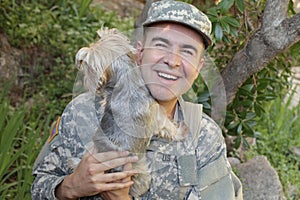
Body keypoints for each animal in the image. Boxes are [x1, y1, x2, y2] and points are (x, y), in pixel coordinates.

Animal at [75, 27, 186, 198]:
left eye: (88, 69)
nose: (80, 67)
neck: (126, 78)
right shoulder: (157, 117)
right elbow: (169, 127)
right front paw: (180, 131)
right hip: (140, 172)